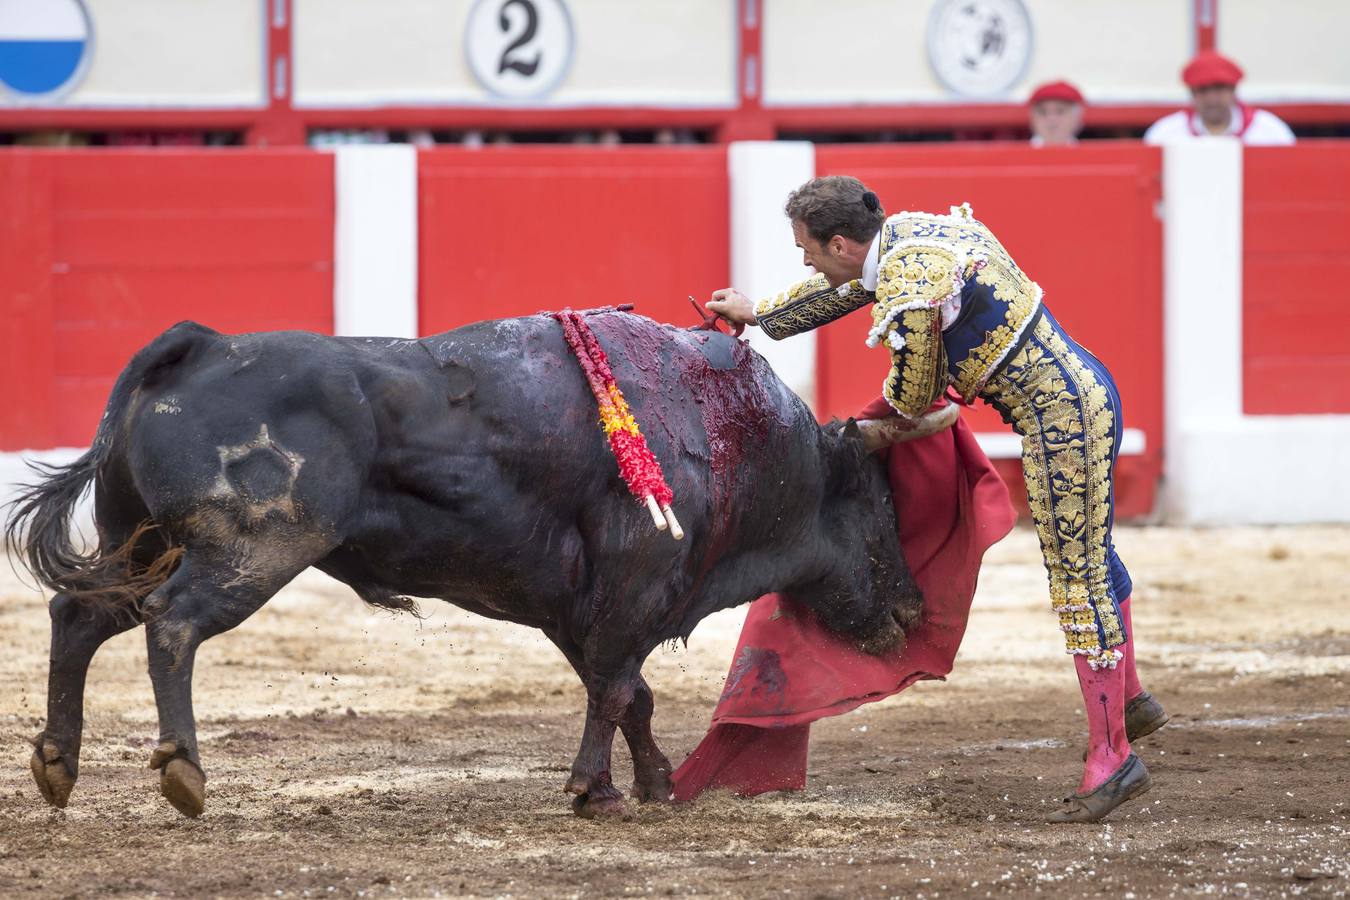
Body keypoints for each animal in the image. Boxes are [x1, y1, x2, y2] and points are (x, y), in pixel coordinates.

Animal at [5, 313, 923, 820]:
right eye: (879, 504)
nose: (913, 609)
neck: (726, 430)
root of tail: (203, 346)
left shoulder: (575, 607)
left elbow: (627, 693)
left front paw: (654, 785)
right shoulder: (633, 583)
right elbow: (616, 690)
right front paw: (595, 792)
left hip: (140, 541)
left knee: (78, 615)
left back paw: (57, 763)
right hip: (252, 548)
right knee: (174, 623)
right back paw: (182, 769)